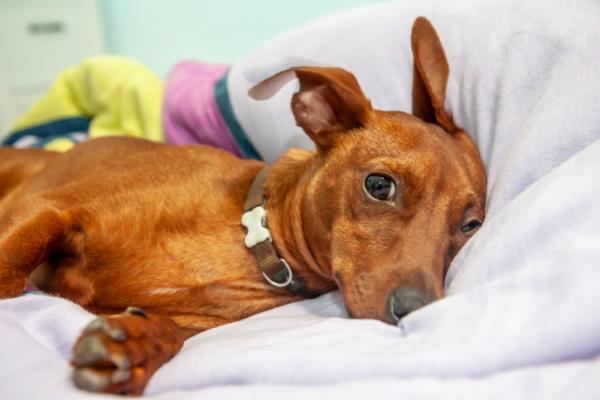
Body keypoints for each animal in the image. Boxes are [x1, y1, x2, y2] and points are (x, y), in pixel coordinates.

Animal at [0, 18, 482, 394]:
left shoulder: (183, 321)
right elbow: (9, 274)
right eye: (379, 185)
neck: (250, 238)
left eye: (470, 225)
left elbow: (170, 335)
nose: (418, 311)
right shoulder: (51, 209)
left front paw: (134, 343)